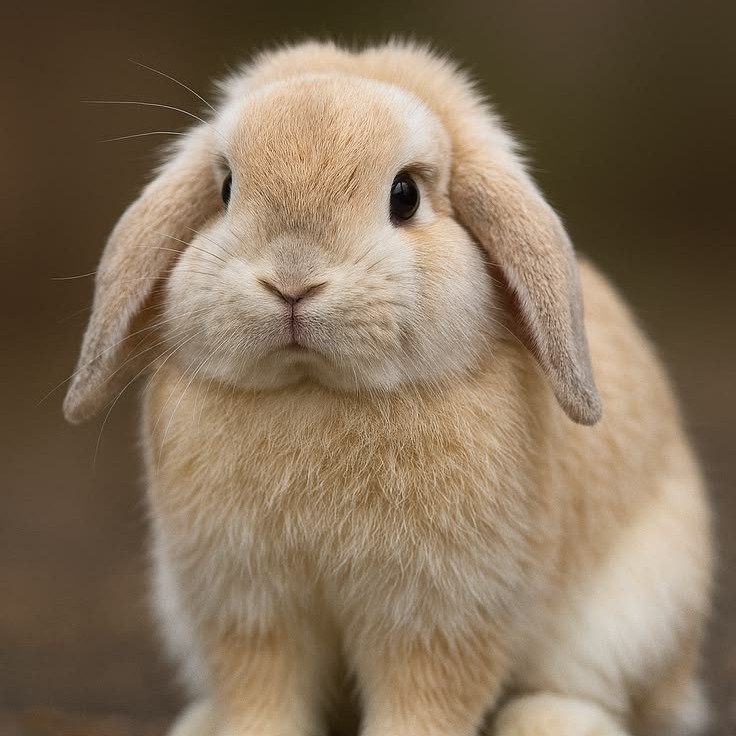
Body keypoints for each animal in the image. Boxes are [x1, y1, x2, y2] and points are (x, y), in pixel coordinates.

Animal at [64, 40, 713, 736]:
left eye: (405, 196)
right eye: (226, 189)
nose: (292, 282)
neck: (315, 393)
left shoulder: (441, 613)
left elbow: (424, 699)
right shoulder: (248, 605)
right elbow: (262, 692)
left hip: (634, 618)